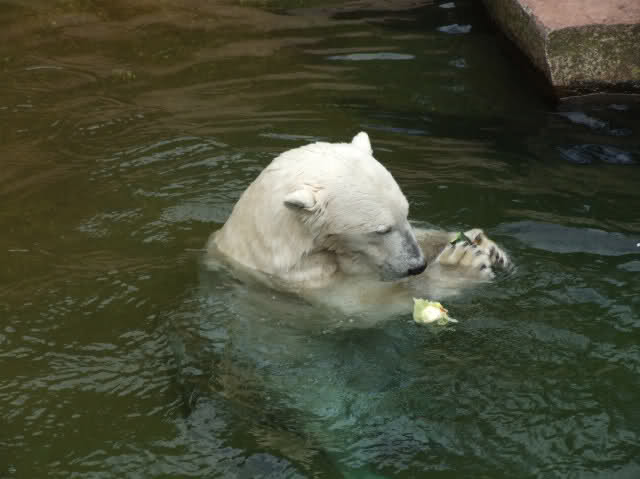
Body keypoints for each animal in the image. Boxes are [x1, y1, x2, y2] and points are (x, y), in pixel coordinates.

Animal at [206, 132, 510, 314]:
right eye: (381, 230)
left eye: (406, 213)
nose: (417, 265)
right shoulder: (303, 281)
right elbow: (364, 303)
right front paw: (459, 266)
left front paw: (484, 245)